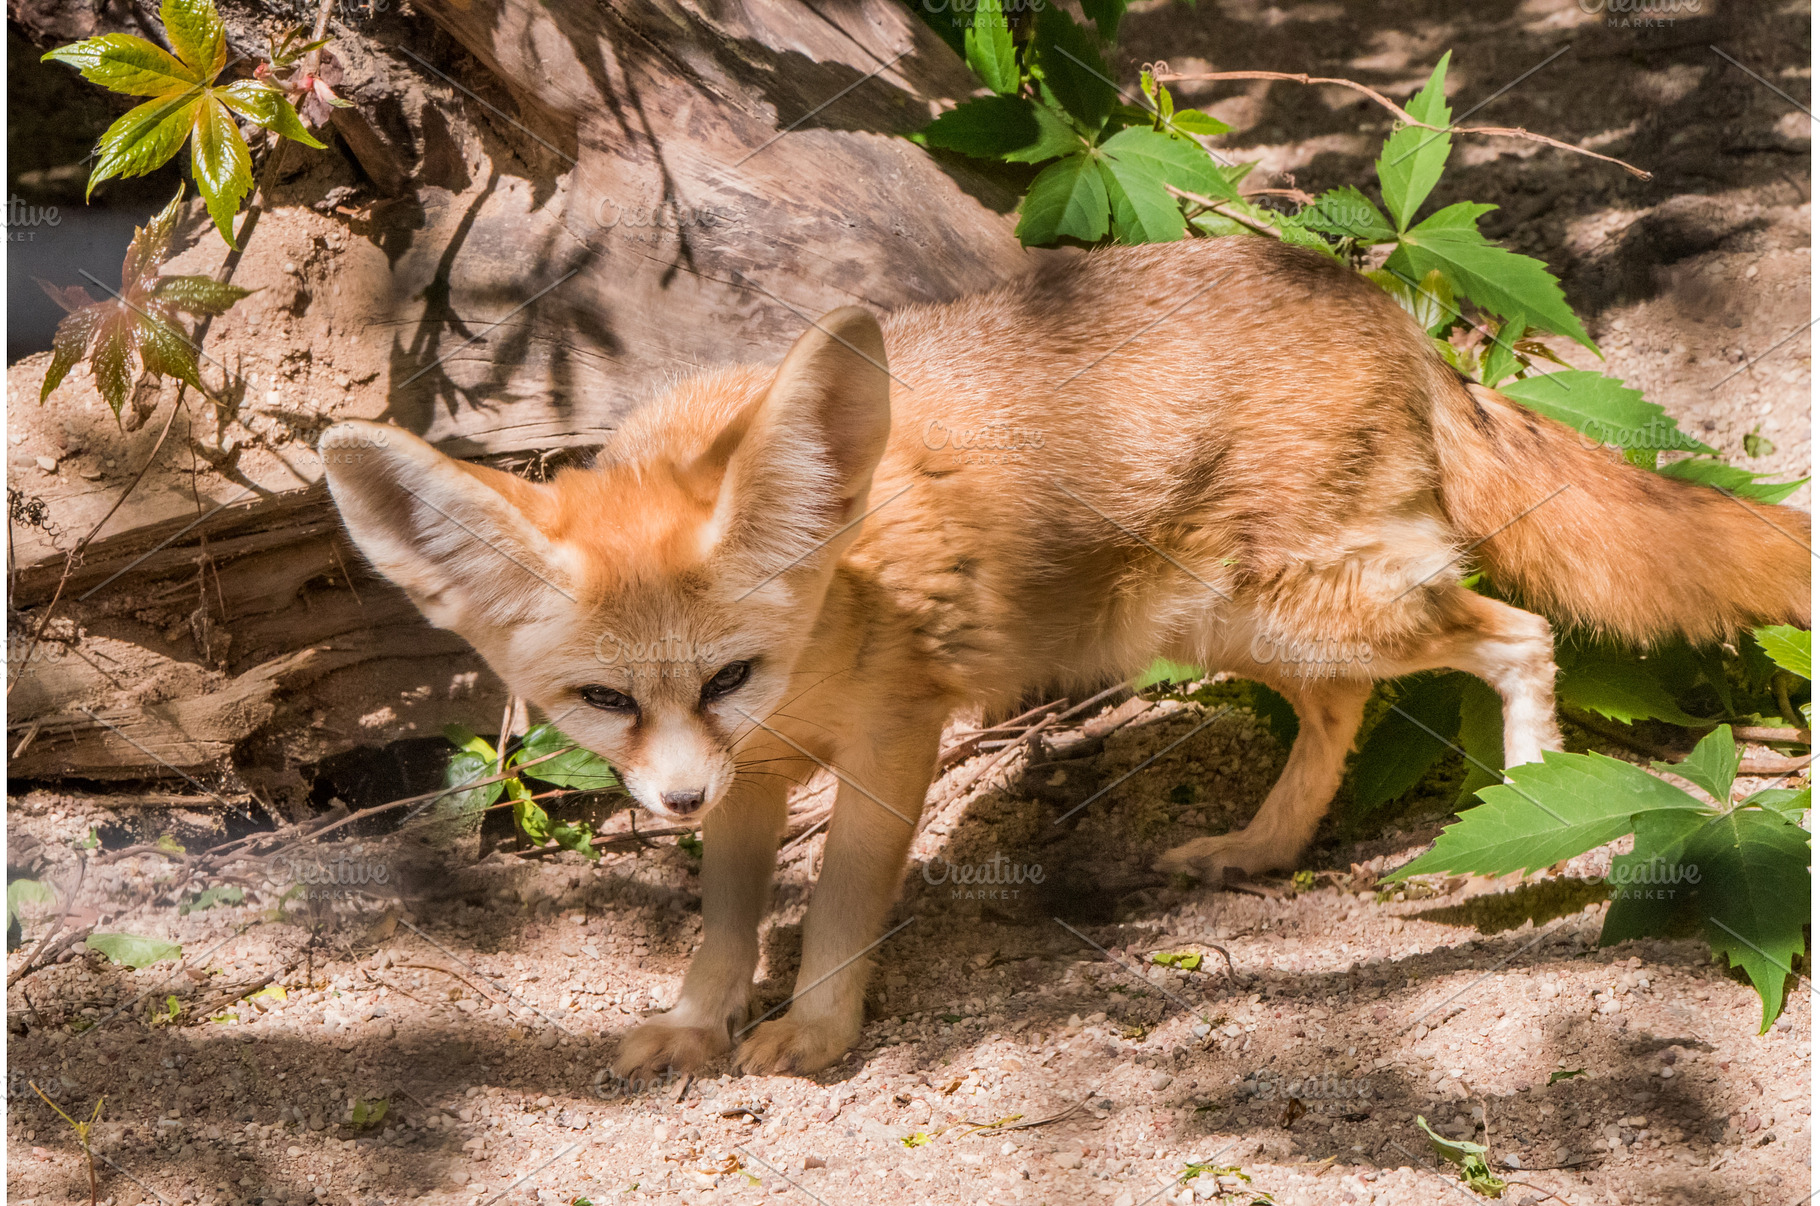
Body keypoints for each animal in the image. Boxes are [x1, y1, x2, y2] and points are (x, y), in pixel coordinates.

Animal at [321, 237, 1810, 1078]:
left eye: (730, 673)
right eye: (603, 701)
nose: (674, 796)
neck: (827, 628)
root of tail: (1374, 296)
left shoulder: (887, 740)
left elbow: (842, 902)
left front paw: (814, 1033)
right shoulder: (756, 778)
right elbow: (727, 919)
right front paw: (699, 1026)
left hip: (1306, 606)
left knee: (1516, 633)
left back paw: (1532, 805)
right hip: (1228, 625)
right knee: (1339, 711)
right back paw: (1263, 846)